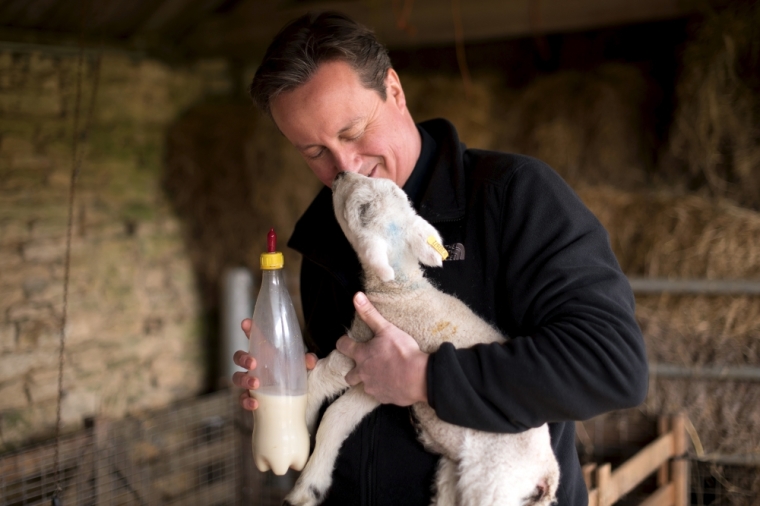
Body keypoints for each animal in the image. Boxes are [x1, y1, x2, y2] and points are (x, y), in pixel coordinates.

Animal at [284, 172, 560, 506]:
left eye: (360, 208)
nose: (340, 175)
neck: (401, 290)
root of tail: (547, 474)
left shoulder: (361, 347)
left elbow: (318, 382)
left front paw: (298, 425)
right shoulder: (374, 383)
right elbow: (338, 416)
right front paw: (310, 483)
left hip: (493, 482)